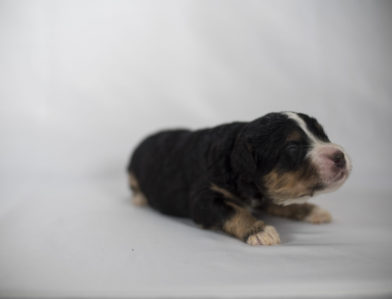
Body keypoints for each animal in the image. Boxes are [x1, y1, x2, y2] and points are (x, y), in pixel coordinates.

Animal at [127, 112, 350, 246]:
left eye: (323, 135)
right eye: (293, 148)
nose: (340, 156)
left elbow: (285, 204)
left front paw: (312, 210)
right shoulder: (204, 197)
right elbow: (233, 211)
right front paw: (260, 231)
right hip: (132, 171)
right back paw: (139, 198)